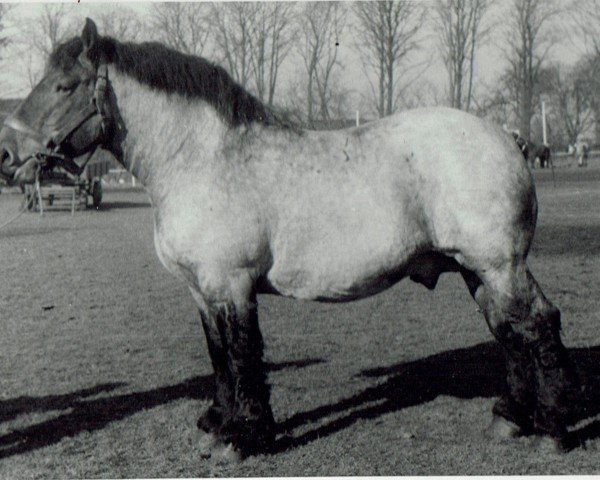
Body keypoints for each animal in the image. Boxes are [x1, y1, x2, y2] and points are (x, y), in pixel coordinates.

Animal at [0, 20, 580, 460]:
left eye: (64, 85)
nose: (7, 154)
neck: (203, 160)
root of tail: (506, 138)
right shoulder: (202, 291)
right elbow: (218, 356)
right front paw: (218, 423)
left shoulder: (231, 284)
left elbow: (243, 355)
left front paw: (244, 437)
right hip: (474, 269)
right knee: (507, 330)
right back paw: (510, 418)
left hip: (499, 265)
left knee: (538, 325)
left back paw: (552, 427)